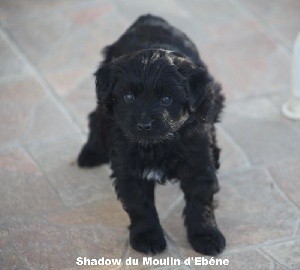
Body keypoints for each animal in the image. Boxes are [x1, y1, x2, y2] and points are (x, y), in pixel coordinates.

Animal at [77, 14, 225, 255]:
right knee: (95, 117)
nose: (144, 124)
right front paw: (147, 236)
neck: (158, 145)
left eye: (166, 99)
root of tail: (149, 18)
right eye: (128, 97)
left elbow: (200, 201)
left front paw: (206, 236)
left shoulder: (197, 161)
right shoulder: (128, 165)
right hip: (104, 106)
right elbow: (140, 205)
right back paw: (90, 153)